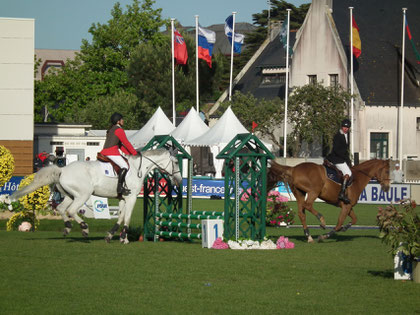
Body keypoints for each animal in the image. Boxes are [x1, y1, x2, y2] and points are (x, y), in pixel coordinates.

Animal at [10, 149, 182, 244]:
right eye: (175, 162)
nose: (179, 180)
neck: (136, 168)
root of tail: (62, 169)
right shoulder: (131, 197)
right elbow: (127, 218)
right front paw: (124, 238)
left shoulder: (122, 198)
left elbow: (120, 217)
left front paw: (111, 236)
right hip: (83, 194)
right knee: (71, 211)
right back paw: (84, 228)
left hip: (70, 195)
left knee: (61, 208)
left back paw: (68, 228)